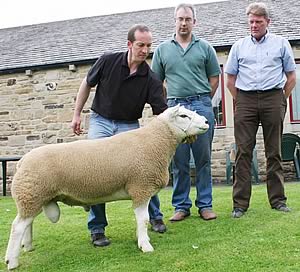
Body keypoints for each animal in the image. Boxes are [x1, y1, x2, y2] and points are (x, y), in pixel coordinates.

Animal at [4, 104, 209, 270]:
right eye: (183, 115)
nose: (207, 121)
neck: (156, 142)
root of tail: (22, 161)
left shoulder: (142, 188)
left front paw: (142, 240)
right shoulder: (141, 187)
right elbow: (143, 220)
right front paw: (145, 246)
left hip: (34, 196)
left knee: (27, 223)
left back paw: (28, 246)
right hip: (31, 194)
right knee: (17, 227)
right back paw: (11, 261)